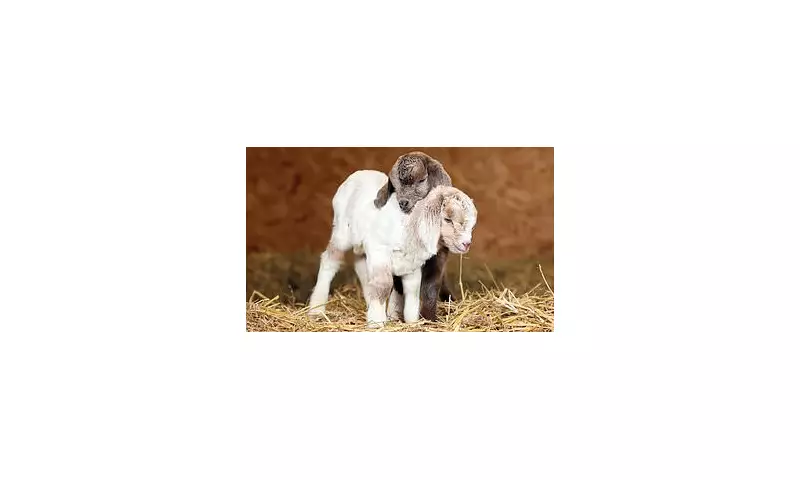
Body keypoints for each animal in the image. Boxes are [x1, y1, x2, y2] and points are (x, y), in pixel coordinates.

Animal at [308, 170, 477, 327]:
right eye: (447, 219)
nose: (466, 243)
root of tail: (360, 173)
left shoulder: (411, 262)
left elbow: (413, 291)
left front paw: (412, 322)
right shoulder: (379, 250)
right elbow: (383, 284)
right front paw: (377, 322)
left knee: (361, 267)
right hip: (342, 232)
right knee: (330, 261)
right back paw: (316, 309)